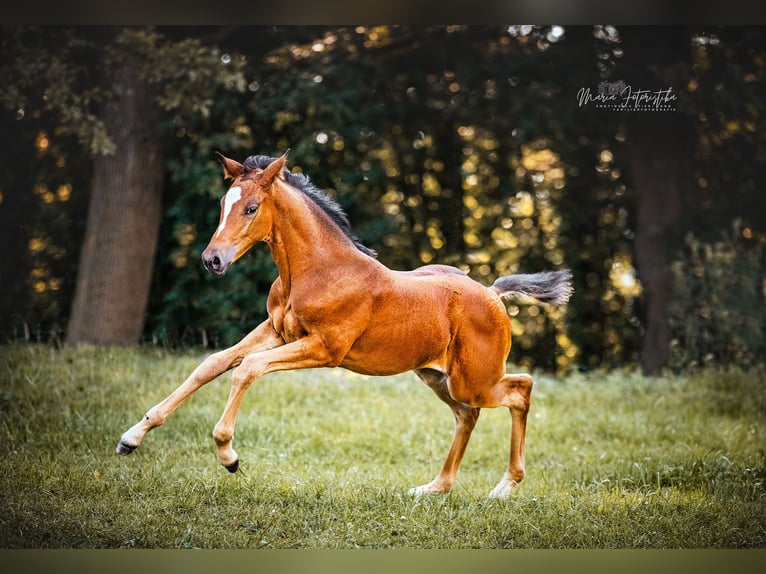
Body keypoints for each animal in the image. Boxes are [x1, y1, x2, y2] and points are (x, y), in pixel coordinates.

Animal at [117, 151, 572, 498]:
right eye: (222, 206)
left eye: (251, 208)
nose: (212, 260)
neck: (317, 271)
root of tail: (492, 293)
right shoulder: (274, 332)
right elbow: (211, 364)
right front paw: (131, 438)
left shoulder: (324, 348)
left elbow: (246, 369)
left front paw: (228, 456)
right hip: (435, 375)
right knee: (467, 416)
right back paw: (434, 488)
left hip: (474, 378)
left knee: (520, 389)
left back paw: (504, 487)